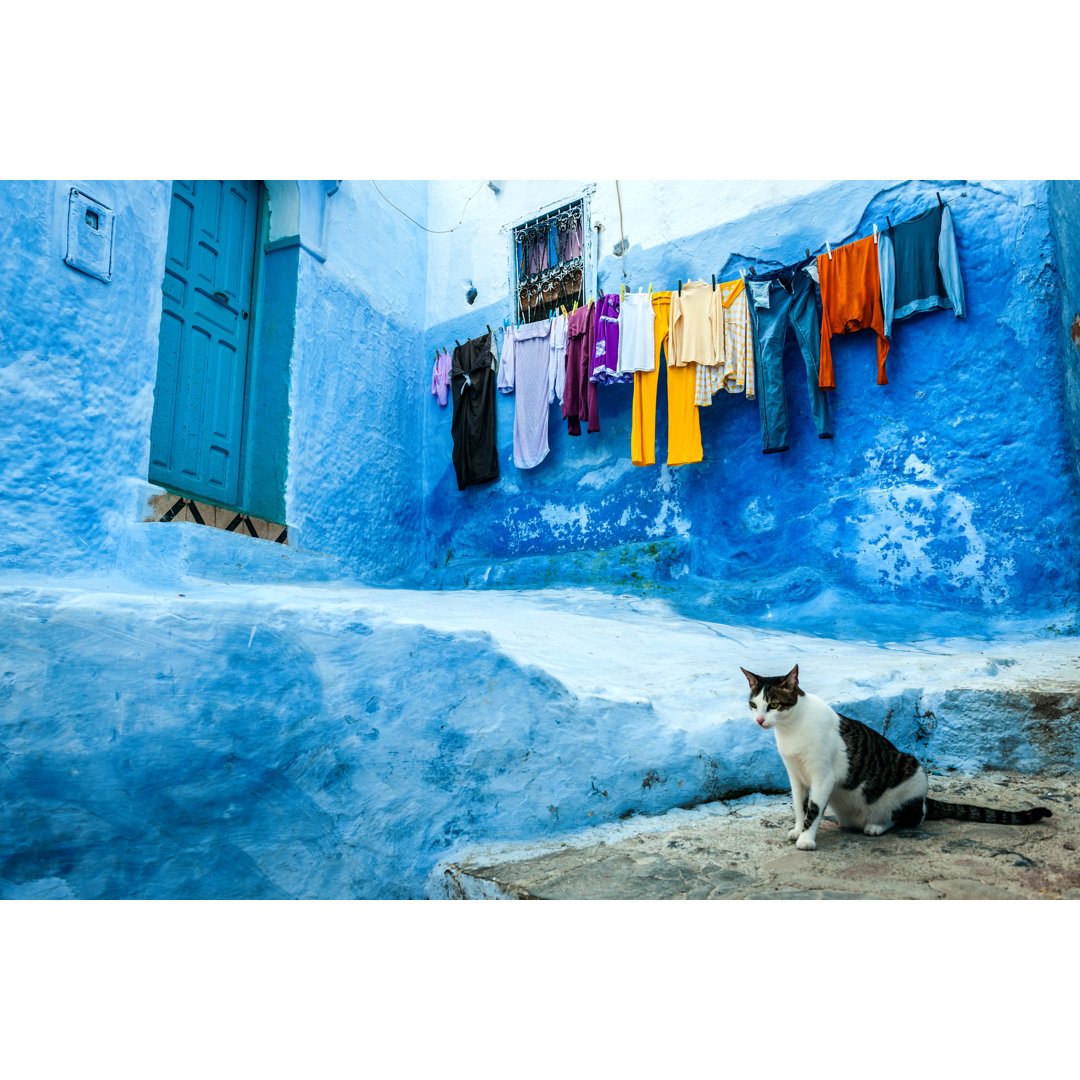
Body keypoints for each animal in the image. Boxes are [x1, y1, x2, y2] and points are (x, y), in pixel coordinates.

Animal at [738, 660, 1049, 846]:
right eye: (754, 705)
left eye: (774, 705)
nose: (760, 720)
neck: (791, 729)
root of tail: (925, 798)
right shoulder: (795, 775)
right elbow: (800, 806)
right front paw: (797, 829)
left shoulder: (822, 775)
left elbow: (814, 810)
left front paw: (806, 839)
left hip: (913, 770)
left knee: (913, 817)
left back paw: (878, 826)